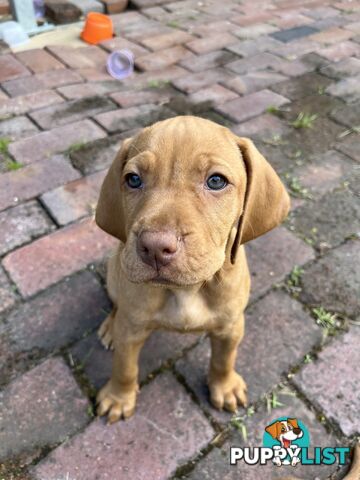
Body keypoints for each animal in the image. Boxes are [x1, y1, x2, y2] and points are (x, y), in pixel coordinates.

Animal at [95, 116, 290, 424]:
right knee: (117, 304)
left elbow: (223, 360)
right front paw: (118, 397)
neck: (188, 289)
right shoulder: (132, 330)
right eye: (133, 180)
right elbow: (124, 367)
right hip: (116, 275)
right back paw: (110, 327)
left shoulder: (231, 326)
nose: (155, 247)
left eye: (216, 181)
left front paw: (225, 387)